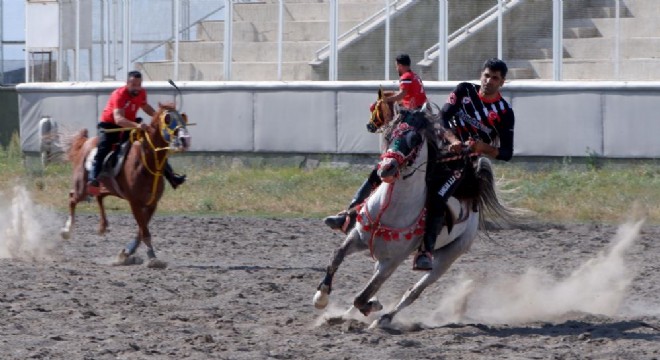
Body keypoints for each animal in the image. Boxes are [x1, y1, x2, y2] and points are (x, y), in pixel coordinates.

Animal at [60, 102, 191, 268]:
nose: (186, 139)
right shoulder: (134, 202)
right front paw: (152, 257)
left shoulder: (152, 203)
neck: (145, 161)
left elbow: (141, 230)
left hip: (103, 188)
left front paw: (126, 253)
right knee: (72, 198)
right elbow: (144, 231)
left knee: (99, 198)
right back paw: (67, 230)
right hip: (82, 188)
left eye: (182, 117)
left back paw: (103, 226)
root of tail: (85, 143)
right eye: (168, 119)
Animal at [312, 95, 512, 330]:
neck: (393, 208)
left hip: (446, 258)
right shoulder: (358, 237)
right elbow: (336, 257)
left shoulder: (394, 260)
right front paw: (321, 298)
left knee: (413, 292)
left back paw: (383, 318)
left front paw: (373, 306)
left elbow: (363, 296)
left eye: (415, 139)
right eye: (389, 134)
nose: (386, 168)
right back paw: (344, 315)